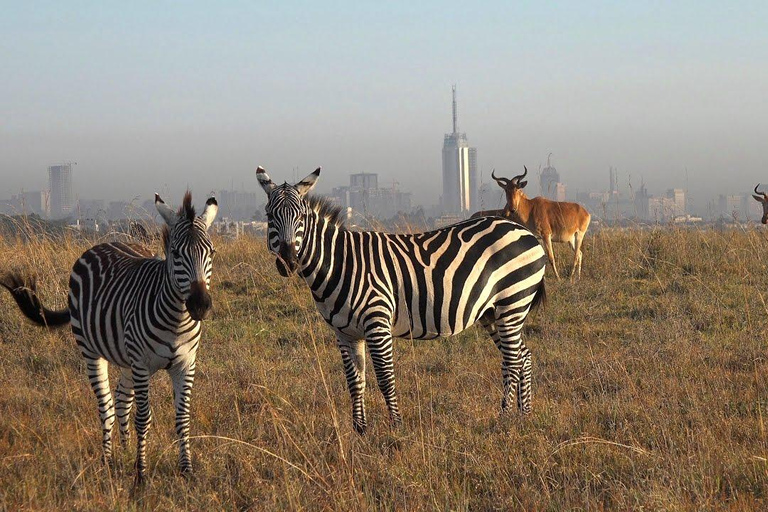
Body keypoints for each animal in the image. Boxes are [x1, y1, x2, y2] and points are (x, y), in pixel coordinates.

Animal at [0, 192, 216, 484]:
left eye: (211, 252)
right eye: (175, 253)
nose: (200, 305)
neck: (177, 319)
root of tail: (105, 242)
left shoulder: (185, 364)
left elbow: (182, 417)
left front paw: (186, 470)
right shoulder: (141, 364)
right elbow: (143, 418)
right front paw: (141, 474)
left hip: (126, 358)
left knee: (123, 399)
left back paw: (124, 452)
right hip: (93, 352)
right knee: (107, 406)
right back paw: (109, 461)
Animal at [256, 166, 544, 434]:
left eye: (301, 217)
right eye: (270, 216)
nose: (287, 262)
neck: (341, 263)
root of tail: (523, 231)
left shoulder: (377, 322)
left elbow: (385, 378)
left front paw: (397, 427)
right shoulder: (345, 333)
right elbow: (355, 381)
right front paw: (360, 431)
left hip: (512, 302)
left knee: (512, 360)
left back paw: (504, 417)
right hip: (492, 312)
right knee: (523, 355)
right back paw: (524, 414)